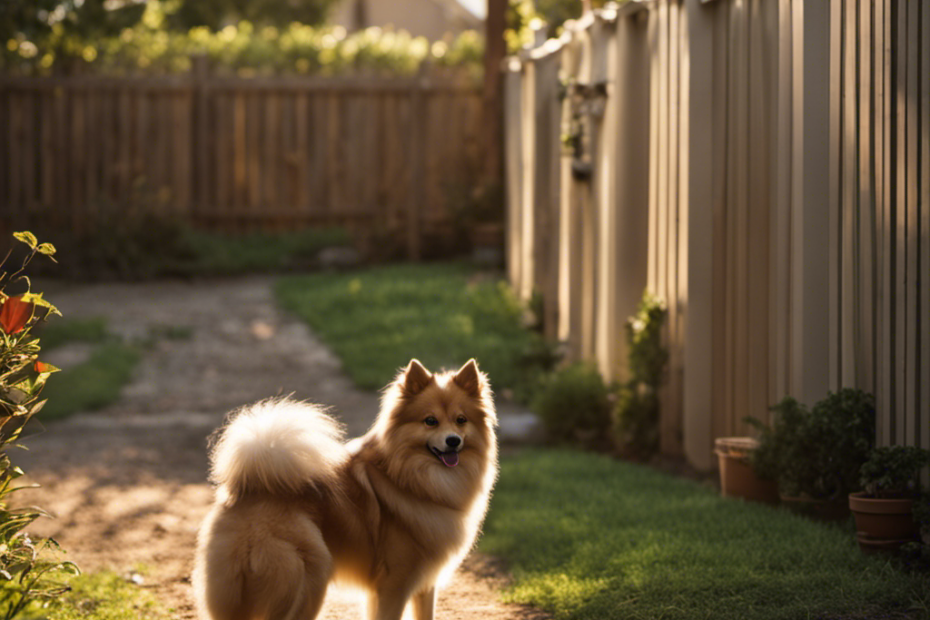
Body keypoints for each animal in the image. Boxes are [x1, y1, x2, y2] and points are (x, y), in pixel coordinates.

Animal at [192, 358, 496, 620]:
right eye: (430, 421)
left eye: (461, 420)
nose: (453, 440)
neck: (410, 478)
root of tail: (249, 492)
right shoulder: (394, 585)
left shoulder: (424, 585)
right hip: (309, 582)